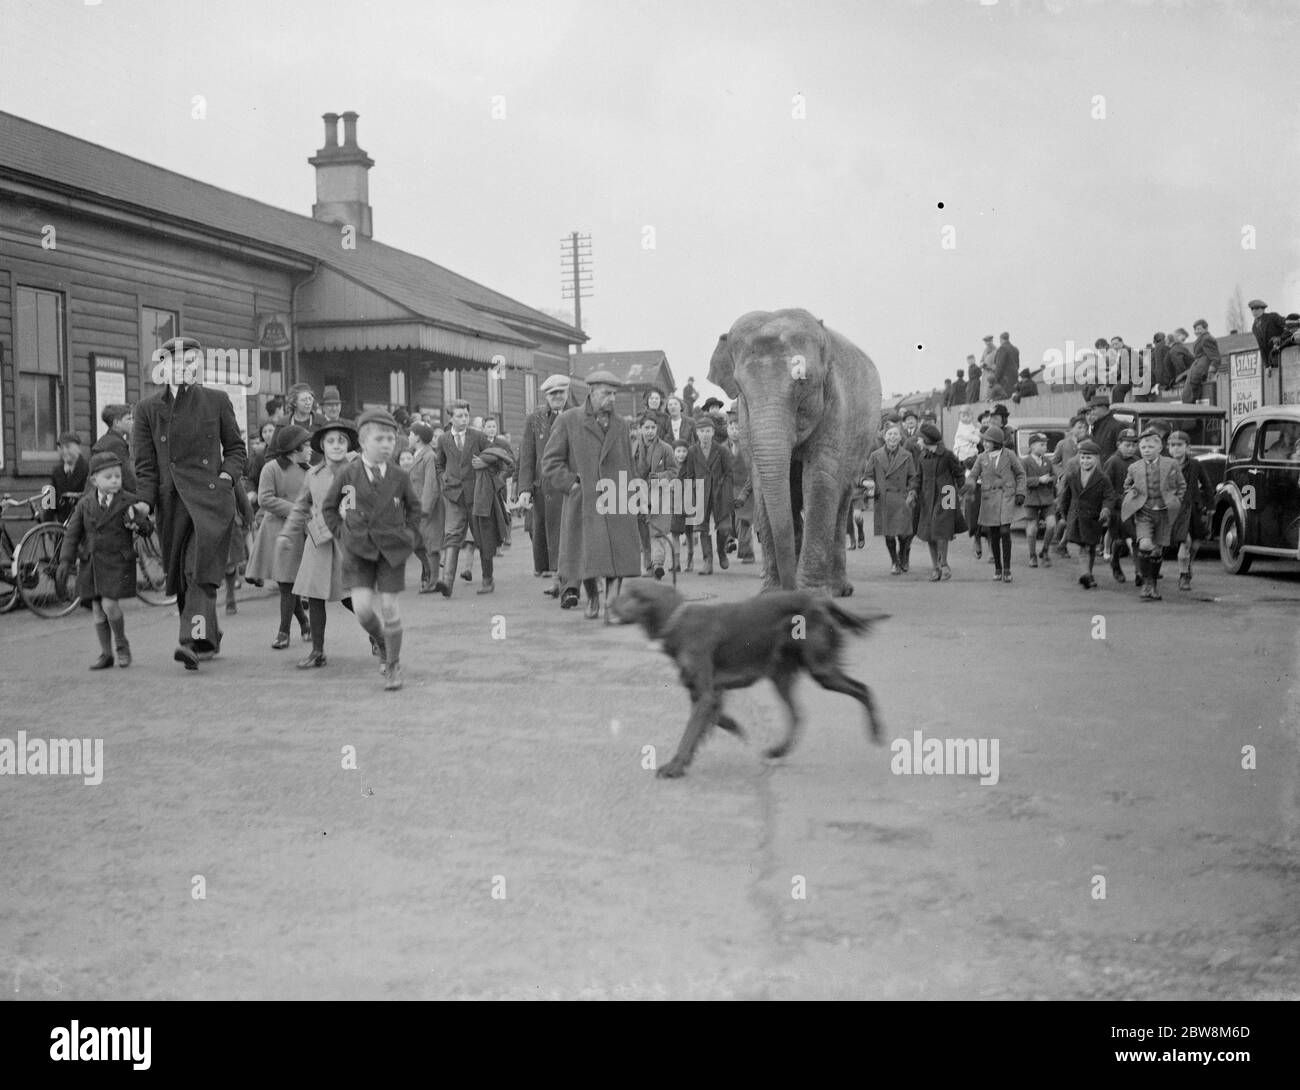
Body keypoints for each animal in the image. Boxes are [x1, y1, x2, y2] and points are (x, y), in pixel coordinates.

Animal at [605, 585, 883, 780]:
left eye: (631, 593)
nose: (608, 603)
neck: (679, 622)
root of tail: (819, 600)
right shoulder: (705, 692)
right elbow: (712, 720)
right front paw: (733, 729)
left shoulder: (705, 694)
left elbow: (690, 732)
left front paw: (674, 766)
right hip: (781, 674)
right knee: (798, 715)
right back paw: (777, 750)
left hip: (820, 668)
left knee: (863, 689)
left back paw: (877, 732)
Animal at [712, 309, 883, 598]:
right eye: (738, 386)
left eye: (803, 383)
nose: (789, 590)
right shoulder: (747, 420)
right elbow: (761, 483)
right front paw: (770, 594)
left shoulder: (835, 406)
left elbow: (819, 479)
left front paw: (811, 595)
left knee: (843, 498)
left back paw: (840, 589)